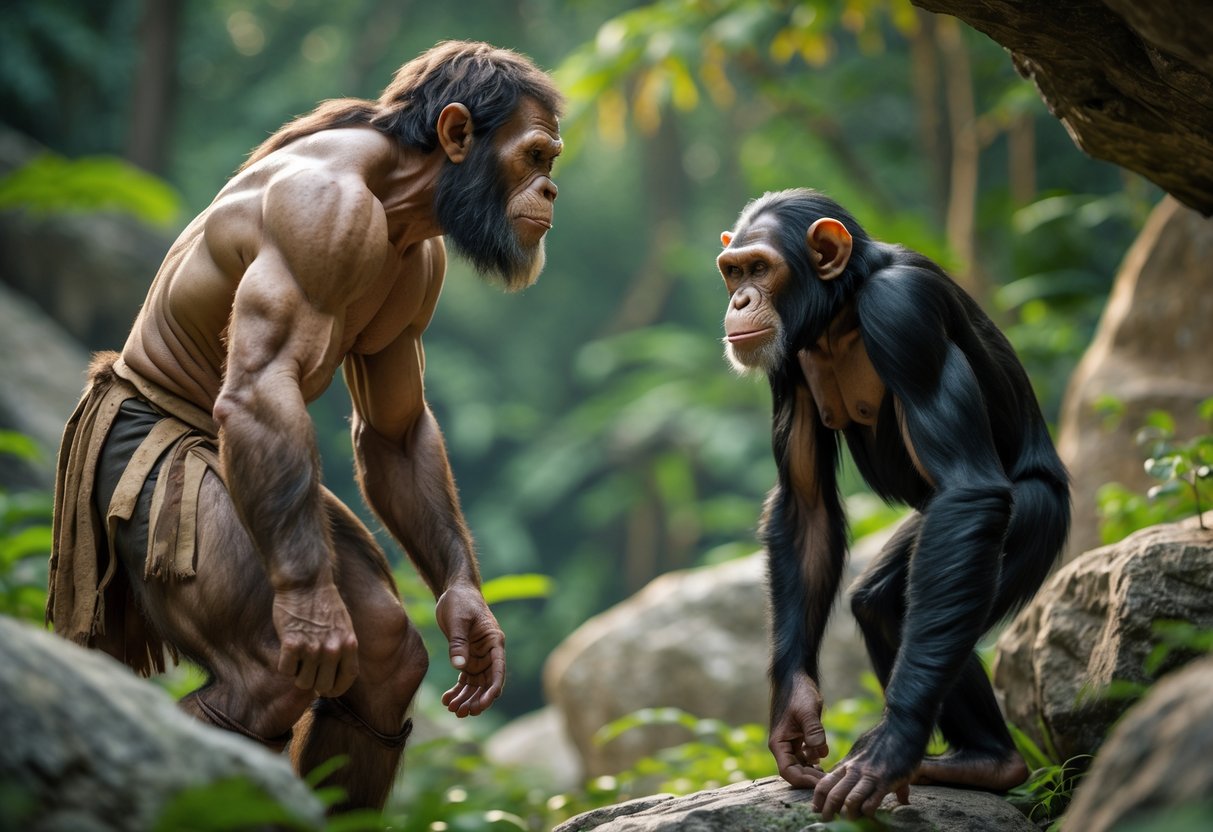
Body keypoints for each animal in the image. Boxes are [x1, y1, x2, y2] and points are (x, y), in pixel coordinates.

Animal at [716, 188, 1069, 820]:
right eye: (733, 271)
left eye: (760, 268)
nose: (740, 299)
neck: (841, 310)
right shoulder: (785, 361)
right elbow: (806, 504)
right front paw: (793, 717)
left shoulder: (904, 314)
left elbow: (967, 490)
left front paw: (888, 750)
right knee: (882, 604)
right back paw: (977, 759)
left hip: (1034, 520)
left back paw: (974, 761)